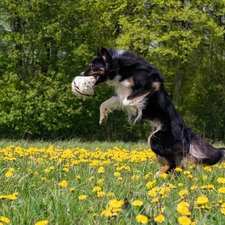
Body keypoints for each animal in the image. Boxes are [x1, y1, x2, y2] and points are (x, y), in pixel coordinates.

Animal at [77, 46, 225, 176]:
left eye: (92, 66)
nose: (81, 74)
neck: (119, 67)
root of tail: (185, 130)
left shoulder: (150, 85)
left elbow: (127, 101)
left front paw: (135, 110)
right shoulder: (121, 93)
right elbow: (105, 104)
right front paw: (102, 118)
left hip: (155, 139)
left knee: (172, 164)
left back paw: (156, 176)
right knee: (174, 166)